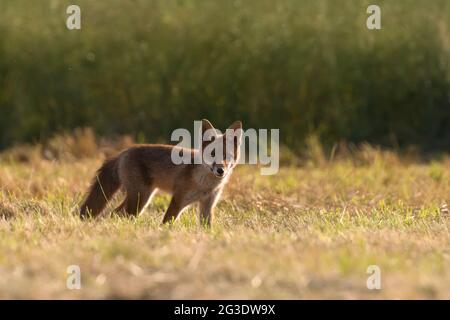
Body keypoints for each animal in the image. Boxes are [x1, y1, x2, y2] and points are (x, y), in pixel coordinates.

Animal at [81, 119, 243, 226]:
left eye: (227, 156)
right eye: (212, 154)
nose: (220, 170)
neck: (205, 185)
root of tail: (124, 152)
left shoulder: (207, 206)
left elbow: (206, 228)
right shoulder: (177, 200)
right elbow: (166, 223)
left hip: (141, 197)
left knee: (115, 213)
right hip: (140, 199)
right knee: (120, 214)